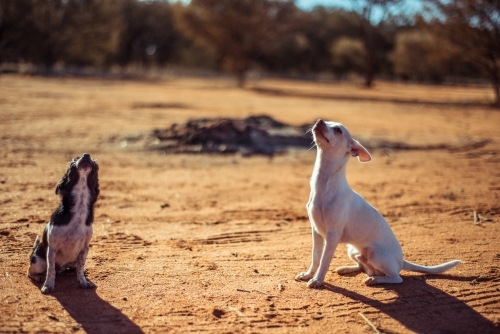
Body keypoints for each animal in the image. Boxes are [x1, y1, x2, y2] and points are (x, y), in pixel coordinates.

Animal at [28, 153, 101, 294]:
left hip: (73, 260)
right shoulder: (52, 249)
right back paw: (39, 277)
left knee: (74, 267)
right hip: (38, 261)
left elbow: (80, 268)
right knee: (31, 272)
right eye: (73, 161)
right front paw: (48, 285)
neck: (80, 207)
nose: (86, 155)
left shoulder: (84, 249)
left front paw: (83, 282)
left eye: (95, 163)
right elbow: (51, 270)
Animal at [292, 119, 460, 288]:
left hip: (376, 255)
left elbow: (324, 261)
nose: (319, 121)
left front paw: (317, 280)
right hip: (352, 250)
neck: (324, 185)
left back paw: (375, 280)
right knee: (362, 266)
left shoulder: (333, 235)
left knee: (396, 277)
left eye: (338, 130)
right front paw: (308, 275)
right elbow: (315, 257)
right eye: (325, 121)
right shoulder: (316, 230)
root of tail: (401, 261)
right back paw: (347, 269)